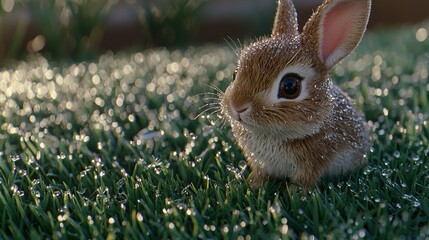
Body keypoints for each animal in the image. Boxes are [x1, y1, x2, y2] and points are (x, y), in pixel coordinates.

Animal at [219, 0, 370, 188]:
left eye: (290, 87)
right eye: (235, 74)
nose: (237, 107)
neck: (273, 134)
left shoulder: (312, 165)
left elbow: (303, 182)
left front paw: (295, 192)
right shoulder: (259, 163)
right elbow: (260, 174)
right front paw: (253, 185)